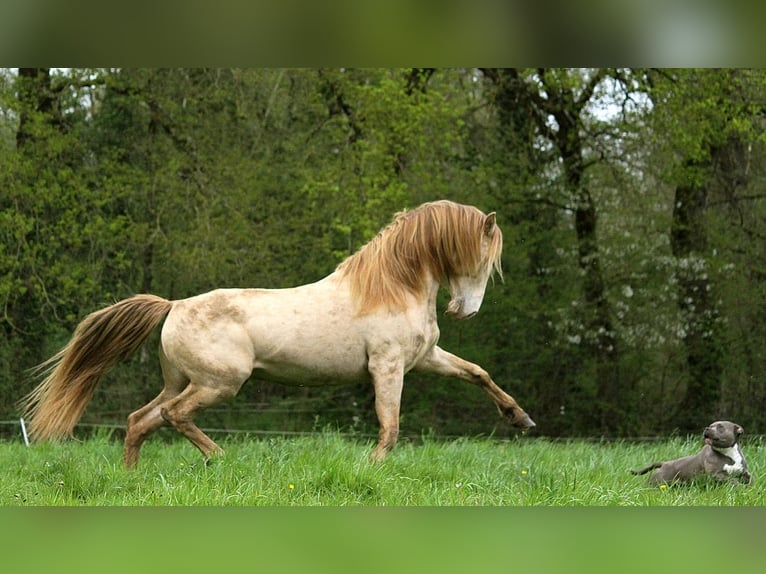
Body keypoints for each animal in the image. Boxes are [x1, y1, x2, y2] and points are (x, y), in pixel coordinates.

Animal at [18, 201, 536, 468]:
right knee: (172, 415)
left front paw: (520, 418)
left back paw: (133, 477)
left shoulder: (424, 358)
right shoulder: (388, 368)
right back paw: (219, 457)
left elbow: (477, 373)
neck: (392, 288)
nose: (464, 310)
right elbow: (390, 427)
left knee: (140, 420)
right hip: (219, 384)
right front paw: (370, 468)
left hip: (181, 380)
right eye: (483, 257)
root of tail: (174, 306)